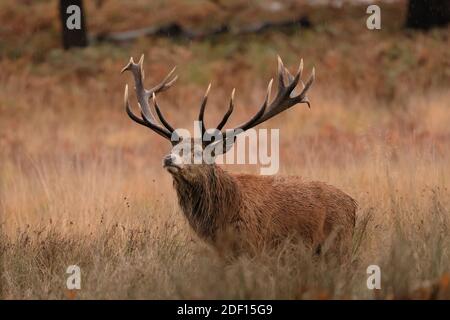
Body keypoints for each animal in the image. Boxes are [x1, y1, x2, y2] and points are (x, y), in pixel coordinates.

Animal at [121, 55, 356, 258]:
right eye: (173, 148)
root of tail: (353, 206)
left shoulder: (255, 245)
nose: (168, 159)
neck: (223, 217)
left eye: (199, 153)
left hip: (337, 244)